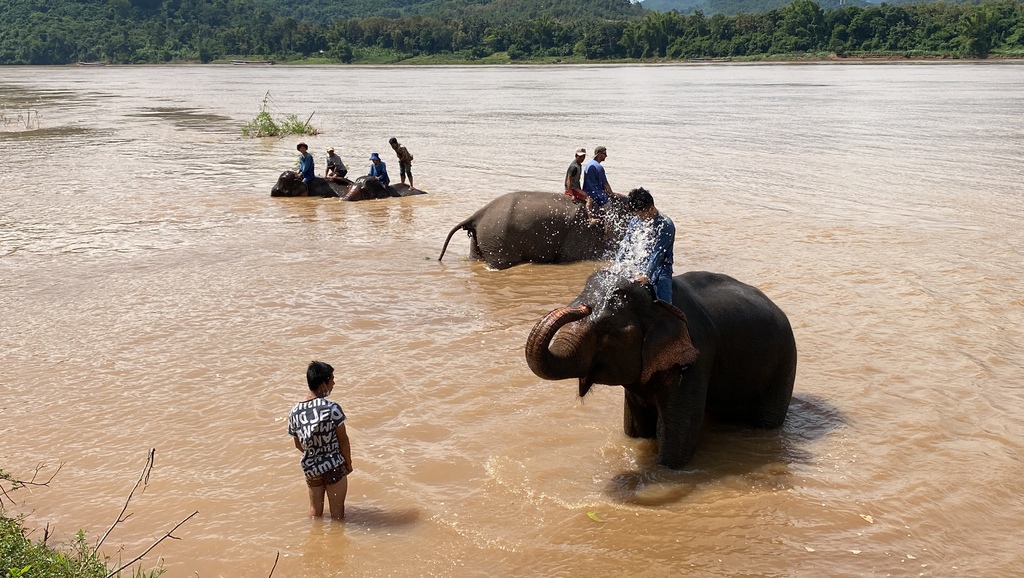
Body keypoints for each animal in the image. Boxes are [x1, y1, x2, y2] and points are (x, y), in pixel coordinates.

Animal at [524, 270, 794, 469]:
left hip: (784, 365)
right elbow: (636, 428)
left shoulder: (696, 358)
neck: (656, 305)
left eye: (606, 331)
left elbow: (677, 436)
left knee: (768, 420)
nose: (583, 307)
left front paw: (664, 471)